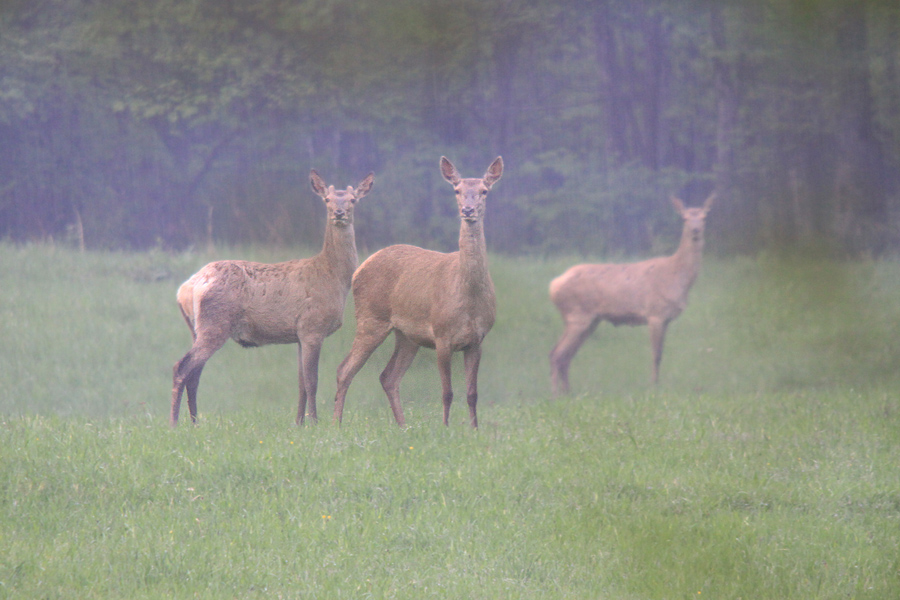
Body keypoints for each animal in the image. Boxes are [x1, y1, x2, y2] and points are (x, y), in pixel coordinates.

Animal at [171, 169, 374, 426]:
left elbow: (301, 384)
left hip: (197, 328)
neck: (333, 278)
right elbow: (312, 382)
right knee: (182, 367)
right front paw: (315, 423)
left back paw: (195, 423)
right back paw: (174, 423)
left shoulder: (299, 335)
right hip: (215, 322)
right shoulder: (312, 327)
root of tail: (186, 288)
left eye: (353, 200)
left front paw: (298, 423)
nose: (339, 213)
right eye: (327, 199)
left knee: (194, 373)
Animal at [330, 155, 502, 426]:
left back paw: (403, 426)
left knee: (388, 376)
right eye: (457, 190)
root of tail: (359, 269)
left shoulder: (477, 340)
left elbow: (472, 394)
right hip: (371, 317)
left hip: (407, 335)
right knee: (345, 369)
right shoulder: (442, 335)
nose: (468, 210)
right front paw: (445, 427)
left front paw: (474, 429)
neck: (468, 298)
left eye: (484, 190)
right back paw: (335, 424)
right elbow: (447, 392)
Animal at [544, 192, 712, 396]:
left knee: (566, 355)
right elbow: (656, 355)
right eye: (685, 218)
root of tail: (554, 285)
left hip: (590, 320)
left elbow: (660, 354)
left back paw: (568, 392)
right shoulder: (655, 313)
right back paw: (555, 394)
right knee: (556, 353)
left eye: (704, 217)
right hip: (578, 315)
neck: (677, 277)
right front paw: (654, 387)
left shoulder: (665, 319)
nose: (695, 230)